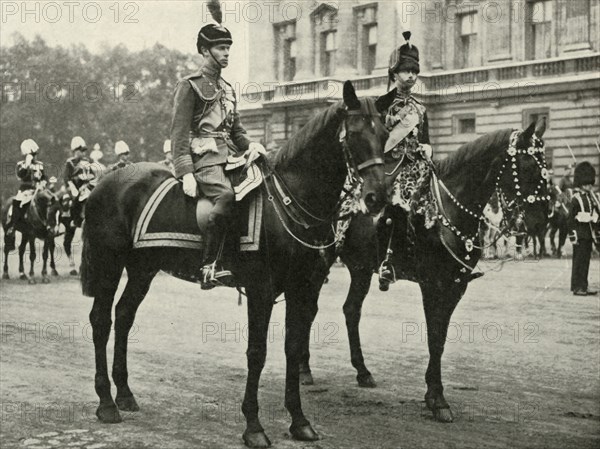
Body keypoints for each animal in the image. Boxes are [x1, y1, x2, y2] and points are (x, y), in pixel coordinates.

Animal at [79, 82, 386, 446]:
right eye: (353, 133)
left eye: (384, 133)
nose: (377, 197)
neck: (289, 200)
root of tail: (104, 183)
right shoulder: (261, 290)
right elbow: (257, 353)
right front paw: (253, 426)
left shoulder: (304, 289)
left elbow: (293, 348)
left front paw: (299, 421)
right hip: (109, 264)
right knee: (101, 321)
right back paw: (106, 403)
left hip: (143, 268)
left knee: (124, 315)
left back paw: (124, 394)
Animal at [300, 119, 548, 420]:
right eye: (528, 167)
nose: (541, 223)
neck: (449, 212)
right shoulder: (433, 284)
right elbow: (434, 337)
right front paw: (438, 398)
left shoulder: (456, 286)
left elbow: (440, 338)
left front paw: (433, 395)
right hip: (321, 261)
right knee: (308, 308)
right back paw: (304, 369)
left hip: (360, 268)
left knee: (351, 310)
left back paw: (362, 371)